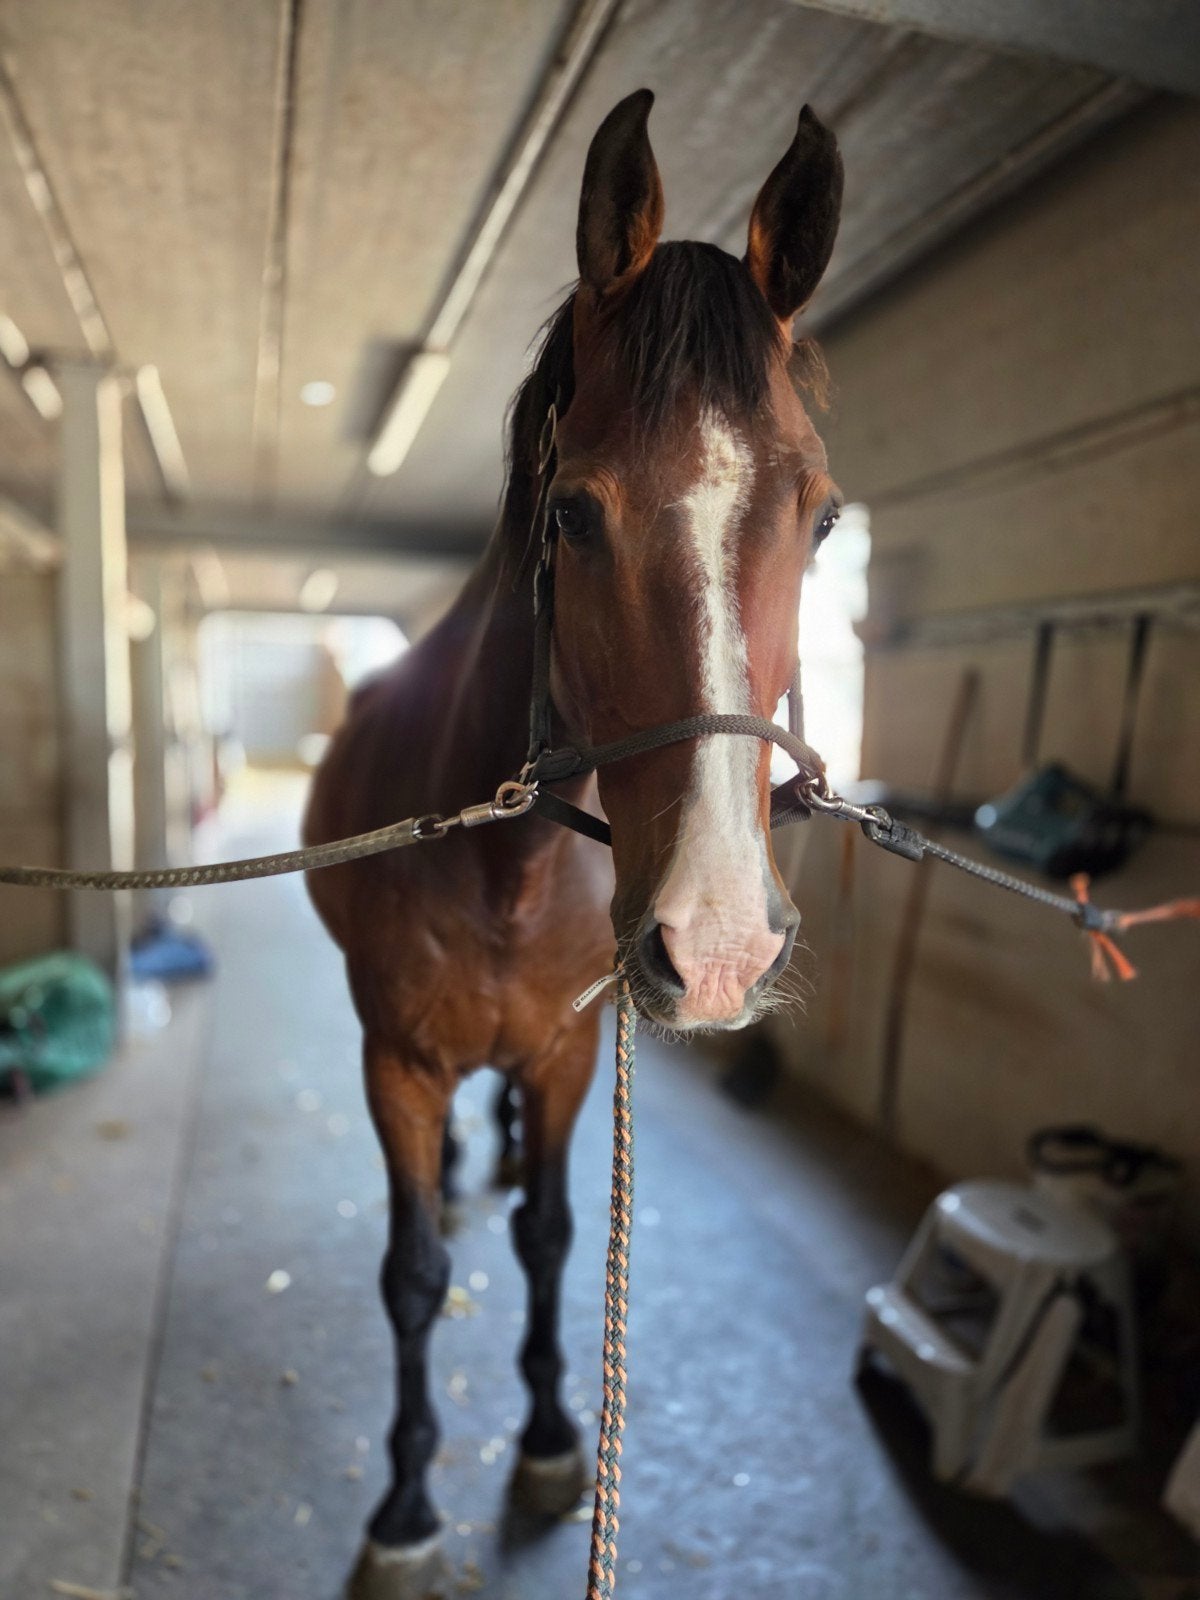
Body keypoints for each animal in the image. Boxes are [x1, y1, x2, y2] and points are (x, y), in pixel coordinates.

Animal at [303, 87, 844, 1598]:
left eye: (825, 516)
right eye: (569, 512)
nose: (717, 944)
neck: (510, 868)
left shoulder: (560, 1054)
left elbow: (550, 1239)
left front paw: (550, 1438)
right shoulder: (397, 1062)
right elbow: (412, 1277)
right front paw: (405, 1508)